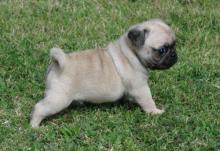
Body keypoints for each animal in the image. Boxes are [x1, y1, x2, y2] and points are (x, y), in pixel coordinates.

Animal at [29, 18, 177, 127]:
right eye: (162, 50)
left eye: (174, 44)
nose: (174, 55)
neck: (130, 52)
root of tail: (60, 62)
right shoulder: (140, 88)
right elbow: (148, 101)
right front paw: (155, 112)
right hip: (59, 98)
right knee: (40, 107)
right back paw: (34, 126)